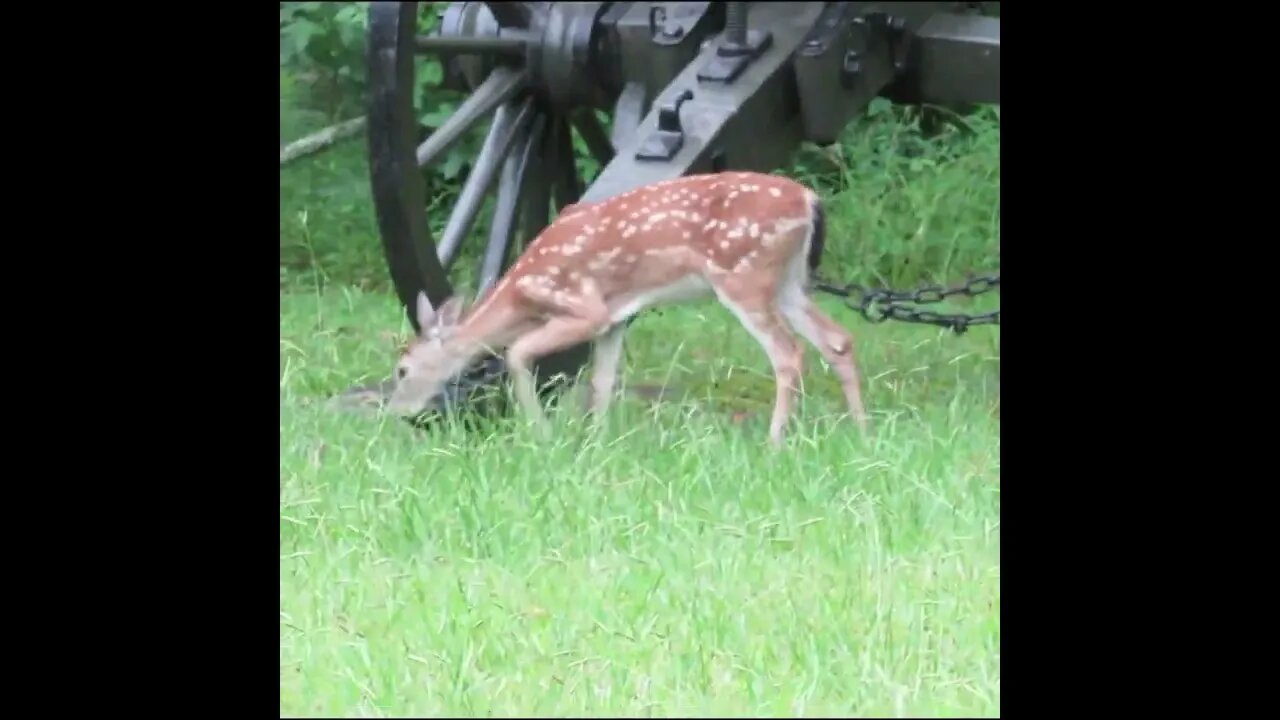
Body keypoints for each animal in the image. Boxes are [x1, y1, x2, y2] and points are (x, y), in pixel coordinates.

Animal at [387, 171, 869, 446]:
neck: (520, 294)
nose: (395, 412)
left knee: (788, 354)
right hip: (787, 281)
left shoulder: (584, 308)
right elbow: (603, 380)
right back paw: (861, 432)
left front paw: (542, 434)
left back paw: (774, 442)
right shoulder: (615, 320)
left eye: (403, 369)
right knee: (838, 339)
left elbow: (516, 353)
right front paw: (598, 443)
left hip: (744, 276)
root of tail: (809, 200)